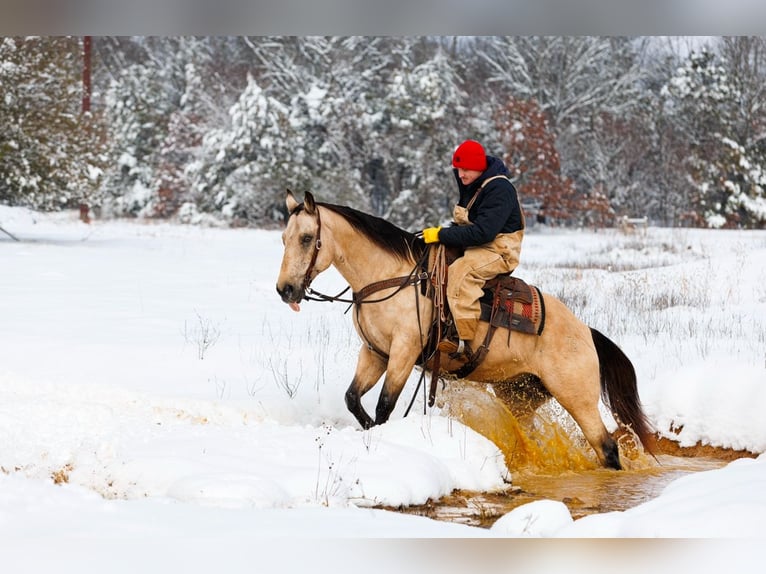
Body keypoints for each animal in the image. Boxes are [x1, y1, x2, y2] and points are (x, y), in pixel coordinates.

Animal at [280, 191, 656, 470]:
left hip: (578, 398)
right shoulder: (375, 353)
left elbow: (385, 406)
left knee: (606, 448)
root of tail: (586, 332)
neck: (390, 277)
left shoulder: (403, 352)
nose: (285, 289)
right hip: (519, 396)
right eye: (284, 237)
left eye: (307, 238)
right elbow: (353, 398)